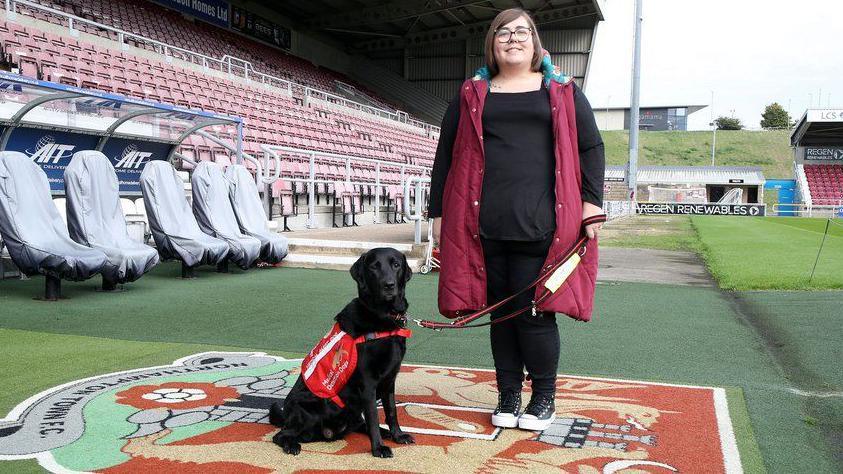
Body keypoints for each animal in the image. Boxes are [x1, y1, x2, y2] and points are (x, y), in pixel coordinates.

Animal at [270, 250, 416, 458]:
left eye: (396, 265)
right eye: (374, 266)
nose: (389, 285)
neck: (383, 317)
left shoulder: (389, 381)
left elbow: (391, 412)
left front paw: (397, 435)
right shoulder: (368, 384)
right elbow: (373, 417)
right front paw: (378, 448)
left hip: (351, 412)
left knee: (361, 424)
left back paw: (385, 432)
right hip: (311, 409)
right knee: (281, 434)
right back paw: (291, 445)